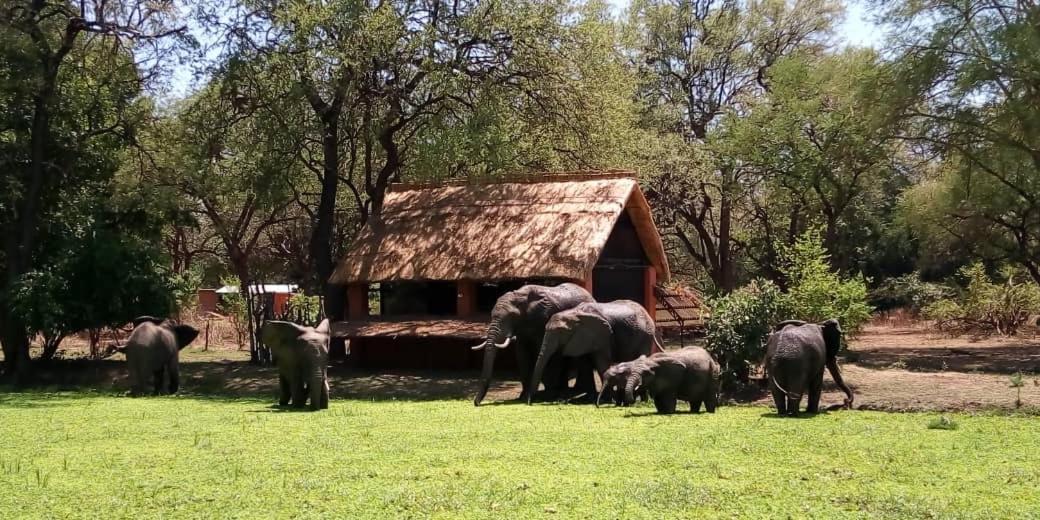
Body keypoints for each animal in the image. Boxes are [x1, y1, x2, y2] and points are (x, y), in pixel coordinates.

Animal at [524, 299, 661, 403]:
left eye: (561, 333)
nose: (530, 402)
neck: (572, 313)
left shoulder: (602, 336)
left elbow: (601, 362)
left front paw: (607, 400)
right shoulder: (582, 337)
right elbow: (584, 362)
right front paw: (590, 399)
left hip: (645, 336)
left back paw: (643, 400)